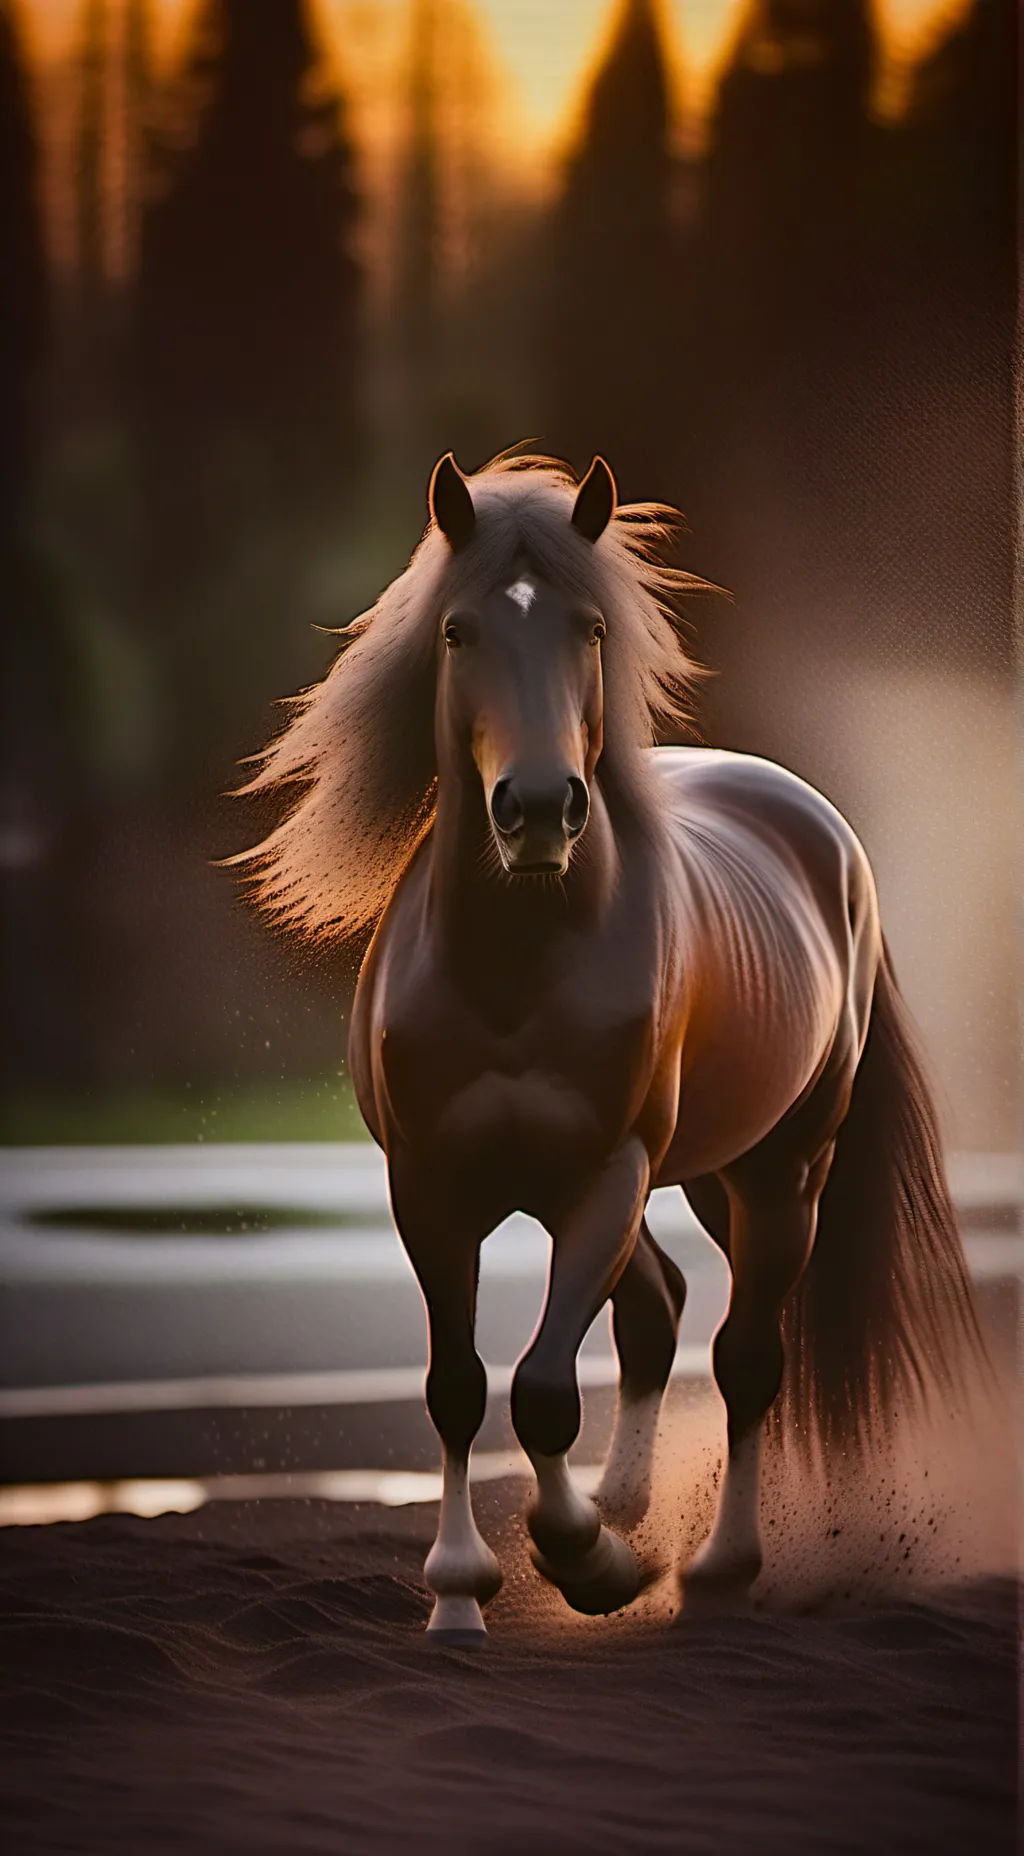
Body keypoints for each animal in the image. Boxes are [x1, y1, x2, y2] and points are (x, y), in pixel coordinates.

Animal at [236, 451, 983, 1641]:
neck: (515, 966)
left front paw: (590, 1562)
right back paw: (630, 1509)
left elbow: (543, 1388)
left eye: (590, 628)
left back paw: (715, 1567)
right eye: (456, 631)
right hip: (688, 1176)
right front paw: (463, 1591)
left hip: (774, 1173)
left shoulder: (603, 1174)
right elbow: (459, 1385)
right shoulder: (432, 1189)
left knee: (744, 1355)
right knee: (658, 1308)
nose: (540, 807)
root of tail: (818, 826)